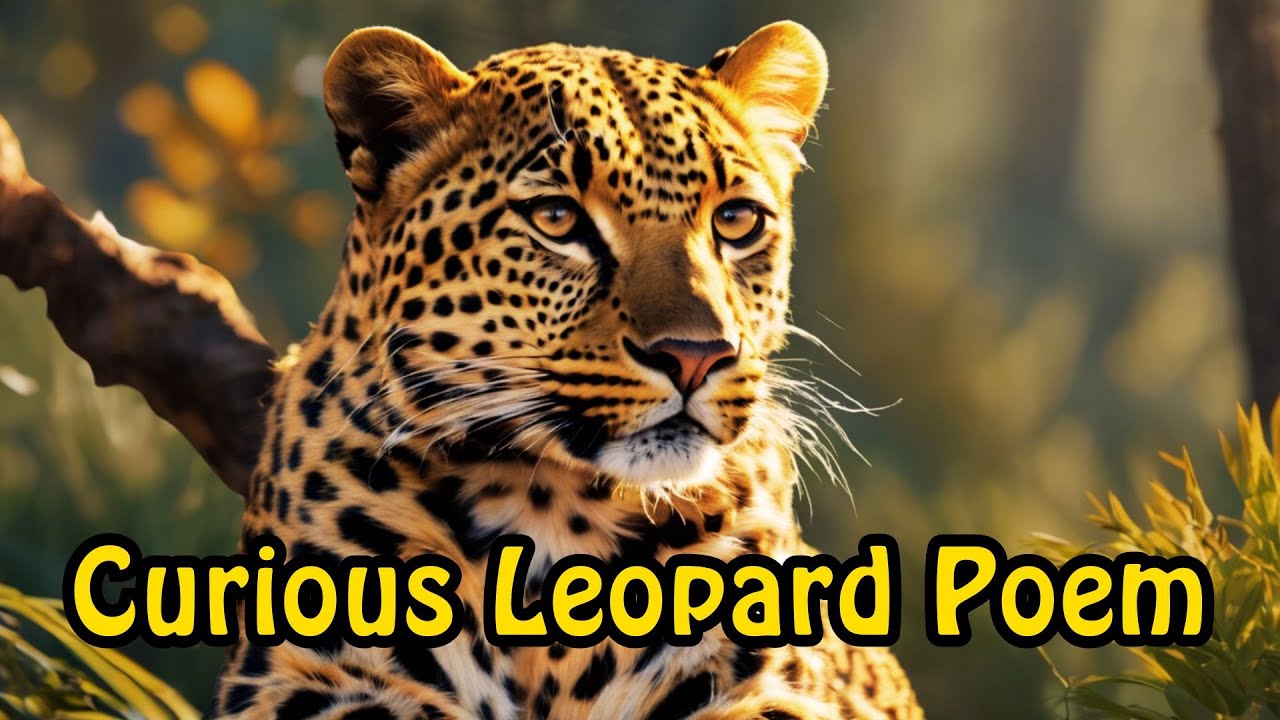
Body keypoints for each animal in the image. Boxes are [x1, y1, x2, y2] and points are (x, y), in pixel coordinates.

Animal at [210, 20, 924, 720]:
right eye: (557, 218)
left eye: (737, 219)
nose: (696, 355)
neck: (549, 504)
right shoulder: (302, 674)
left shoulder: (774, 685)